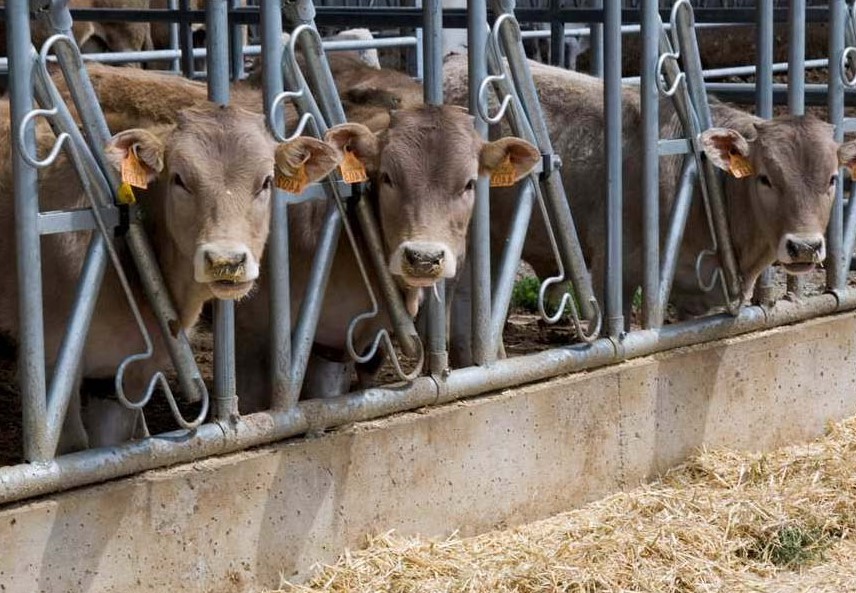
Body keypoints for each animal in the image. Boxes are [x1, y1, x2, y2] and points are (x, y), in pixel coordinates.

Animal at [0, 98, 342, 452]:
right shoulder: (51, 358)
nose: (226, 260)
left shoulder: (128, 373)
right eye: (179, 179)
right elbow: (74, 445)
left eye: (265, 182)